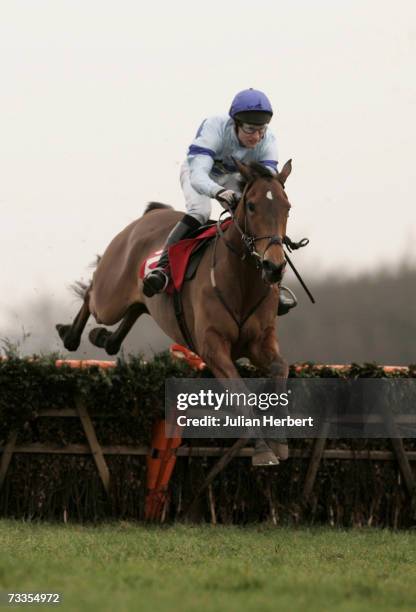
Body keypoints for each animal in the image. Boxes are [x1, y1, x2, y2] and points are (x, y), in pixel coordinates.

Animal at [56, 158, 292, 464]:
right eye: (251, 206)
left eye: (287, 207)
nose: (273, 266)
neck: (242, 282)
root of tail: (150, 215)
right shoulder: (213, 348)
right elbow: (241, 393)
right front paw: (263, 450)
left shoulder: (260, 342)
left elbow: (281, 369)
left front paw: (280, 442)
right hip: (110, 299)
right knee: (90, 295)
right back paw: (70, 335)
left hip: (142, 298)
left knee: (135, 310)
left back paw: (104, 339)